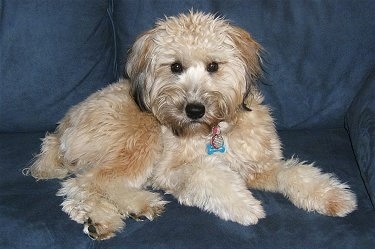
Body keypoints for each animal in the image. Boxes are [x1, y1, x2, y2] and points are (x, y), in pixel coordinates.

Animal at [24, 11, 358, 239]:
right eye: (175, 67)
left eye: (213, 66)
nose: (194, 109)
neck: (215, 131)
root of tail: (61, 129)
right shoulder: (171, 171)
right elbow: (207, 175)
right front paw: (245, 206)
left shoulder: (260, 166)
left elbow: (295, 173)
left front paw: (333, 196)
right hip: (138, 138)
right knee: (87, 183)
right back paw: (132, 206)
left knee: (85, 188)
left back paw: (106, 217)